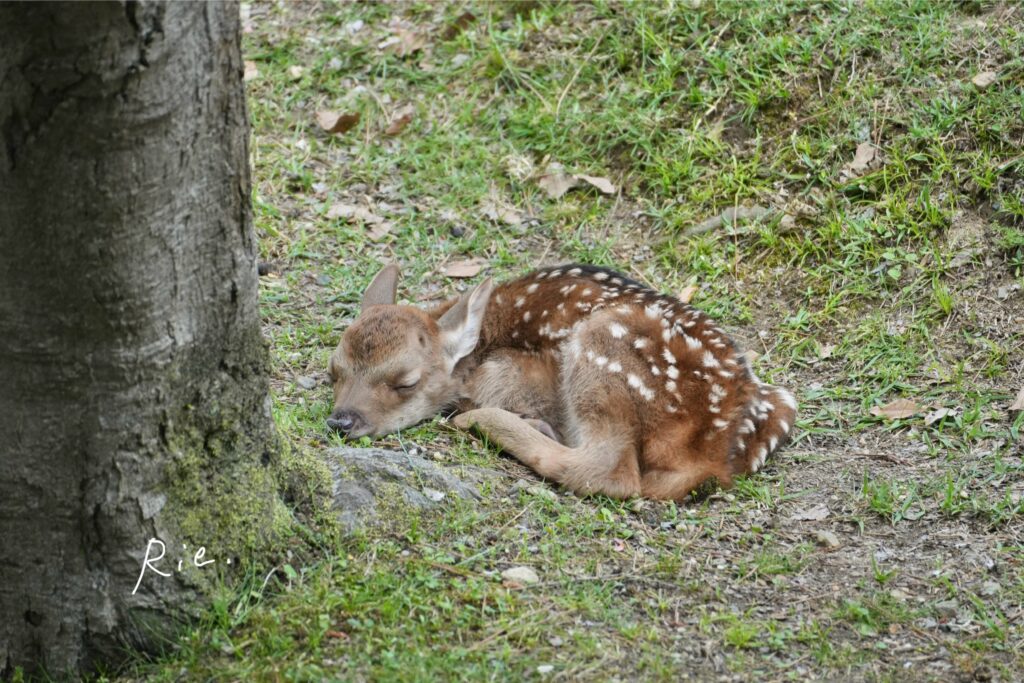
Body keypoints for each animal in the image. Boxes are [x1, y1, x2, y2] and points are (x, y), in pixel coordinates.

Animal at [326, 263, 797, 501]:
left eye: (405, 382)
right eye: (334, 370)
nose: (341, 421)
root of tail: (719, 451)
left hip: (602, 348)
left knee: (609, 472)